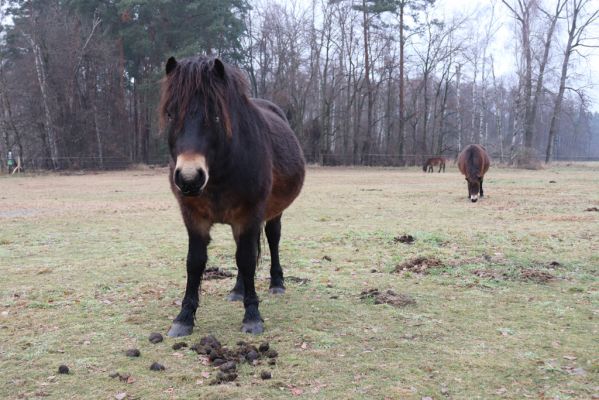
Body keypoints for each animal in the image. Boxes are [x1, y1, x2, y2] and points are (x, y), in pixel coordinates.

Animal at [158, 55, 304, 338]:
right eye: (170, 114)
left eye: (215, 115)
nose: (189, 178)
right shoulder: (194, 218)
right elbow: (195, 263)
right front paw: (184, 318)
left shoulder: (249, 215)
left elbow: (246, 260)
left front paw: (252, 316)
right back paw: (238, 290)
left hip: (272, 213)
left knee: (272, 240)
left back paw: (277, 283)